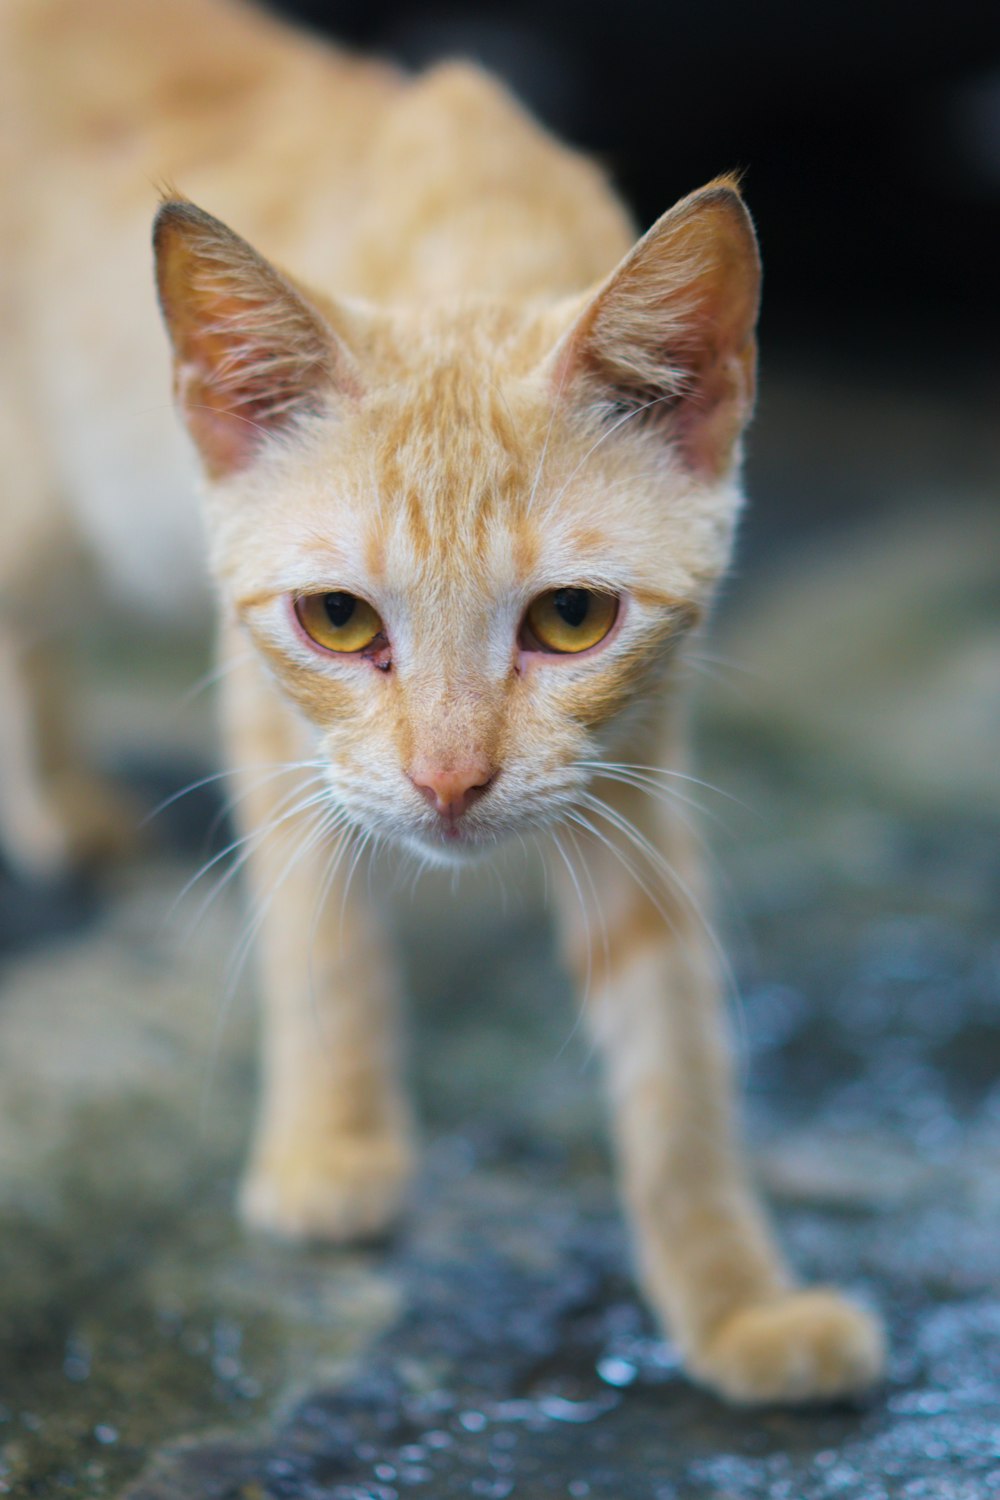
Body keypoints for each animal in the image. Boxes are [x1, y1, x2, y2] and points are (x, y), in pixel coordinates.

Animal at [1, 0, 881, 1404]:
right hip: (44, 525)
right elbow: (322, 929)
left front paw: (732, 1299)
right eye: (339, 619)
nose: (449, 783)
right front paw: (336, 1149)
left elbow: (674, 1033)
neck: (464, 246)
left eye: (570, 620)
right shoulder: (274, 718)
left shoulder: (638, 756)